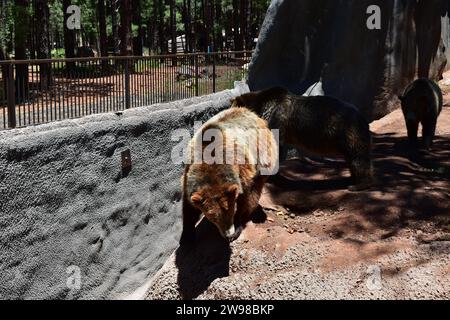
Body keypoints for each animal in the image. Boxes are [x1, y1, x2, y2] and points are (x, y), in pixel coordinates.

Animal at [179, 106, 278, 244]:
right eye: (212, 217)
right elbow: (188, 207)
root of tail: (253, 114)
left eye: (229, 210)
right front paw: (187, 237)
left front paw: (237, 226)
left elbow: (246, 198)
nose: (227, 234)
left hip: (264, 154)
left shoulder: (243, 170)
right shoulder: (189, 175)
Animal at [230, 86, 374, 191]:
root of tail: (363, 117)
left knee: (358, 158)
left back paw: (358, 185)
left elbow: (275, 147)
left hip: (350, 132)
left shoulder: (277, 119)